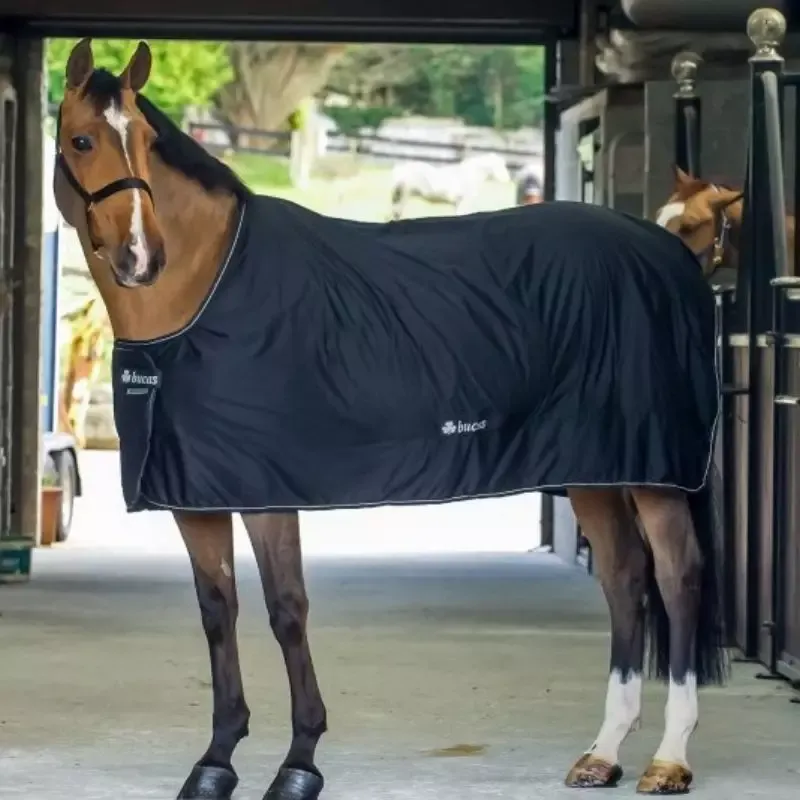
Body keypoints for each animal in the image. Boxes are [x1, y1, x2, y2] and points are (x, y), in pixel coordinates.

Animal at [54, 39, 728, 800]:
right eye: (82, 141)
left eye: (142, 140)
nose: (142, 256)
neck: (206, 291)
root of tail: (673, 257)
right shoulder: (197, 496)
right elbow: (217, 613)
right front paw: (216, 760)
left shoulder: (266, 491)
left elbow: (287, 610)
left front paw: (299, 763)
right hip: (596, 470)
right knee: (623, 579)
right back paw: (603, 753)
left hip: (656, 475)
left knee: (677, 579)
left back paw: (669, 758)